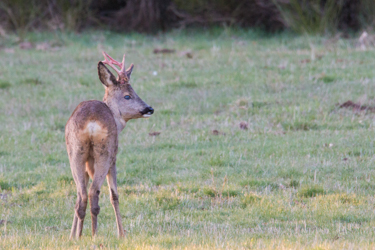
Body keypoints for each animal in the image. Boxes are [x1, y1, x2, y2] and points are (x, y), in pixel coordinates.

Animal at [65, 51, 154, 238]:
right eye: (128, 95)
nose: (149, 108)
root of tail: (91, 123)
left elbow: (77, 196)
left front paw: (72, 235)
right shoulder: (114, 158)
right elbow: (115, 195)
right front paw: (122, 234)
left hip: (76, 151)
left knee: (82, 194)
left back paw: (79, 237)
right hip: (105, 152)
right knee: (94, 192)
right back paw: (94, 234)